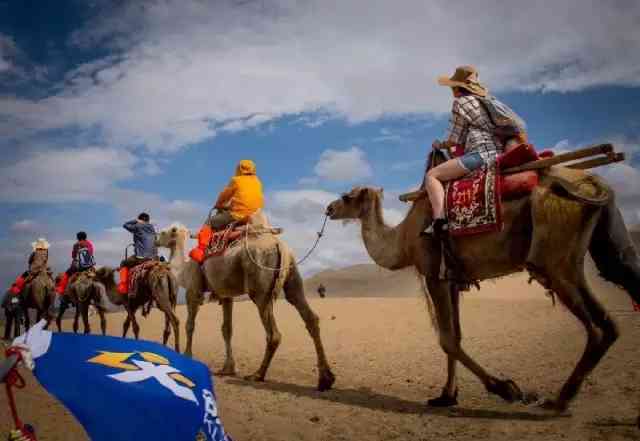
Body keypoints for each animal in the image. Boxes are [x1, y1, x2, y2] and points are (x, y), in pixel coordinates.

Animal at [154, 220, 336, 392]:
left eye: (163, 232)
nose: (156, 240)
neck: (183, 271)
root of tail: (279, 246)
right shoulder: (226, 295)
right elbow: (227, 329)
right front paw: (228, 368)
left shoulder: (193, 290)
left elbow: (190, 325)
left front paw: (187, 356)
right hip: (293, 275)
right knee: (308, 315)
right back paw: (325, 379)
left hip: (260, 287)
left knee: (274, 333)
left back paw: (258, 374)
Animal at [324, 163, 640, 410]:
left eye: (346, 196)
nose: (328, 208)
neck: (403, 238)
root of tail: (595, 182)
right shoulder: (452, 278)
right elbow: (456, 337)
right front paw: (446, 396)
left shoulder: (434, 273)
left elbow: (447, 339)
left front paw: (506, 389)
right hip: (599, 241)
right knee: (615, 303)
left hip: (554, 256)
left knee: (596, 326)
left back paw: (559, 400)